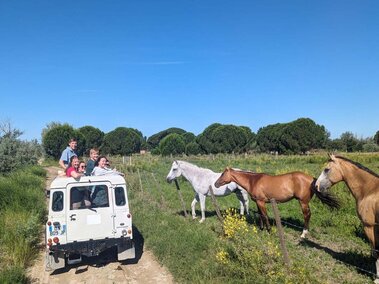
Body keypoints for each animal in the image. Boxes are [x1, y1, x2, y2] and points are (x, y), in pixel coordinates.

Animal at [214, 168, 342, 239]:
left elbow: (265, 216)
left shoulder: (261, 202)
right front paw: (261, 229)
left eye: (222, 174)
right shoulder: (258, 202)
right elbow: (261, 216)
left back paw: (303, 233)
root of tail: (312, 179)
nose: (216, 184)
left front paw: (269, 230)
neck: (253, 181)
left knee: (307, 215)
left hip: (303, 202)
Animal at [316, 154, 379, 282]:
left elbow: (376, 252)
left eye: (326, 169)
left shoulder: (369, 226)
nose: (316, 186)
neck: (370, 190)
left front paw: (377, 279)